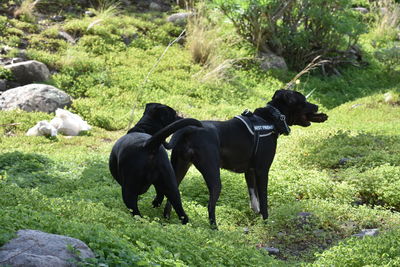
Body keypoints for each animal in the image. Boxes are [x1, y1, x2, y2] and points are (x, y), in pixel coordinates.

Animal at [162, 90, 328, 226]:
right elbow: (264, 200)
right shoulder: (262, 171)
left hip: (179, 168)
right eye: (303, 101)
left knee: (171, 197)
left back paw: (170, 221)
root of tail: (188, 130)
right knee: (210, 206)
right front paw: (266, 222)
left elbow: (255, 200)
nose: (317, 106)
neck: (269, 120)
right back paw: (215, 229)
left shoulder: (250, 171)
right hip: (213, 176)